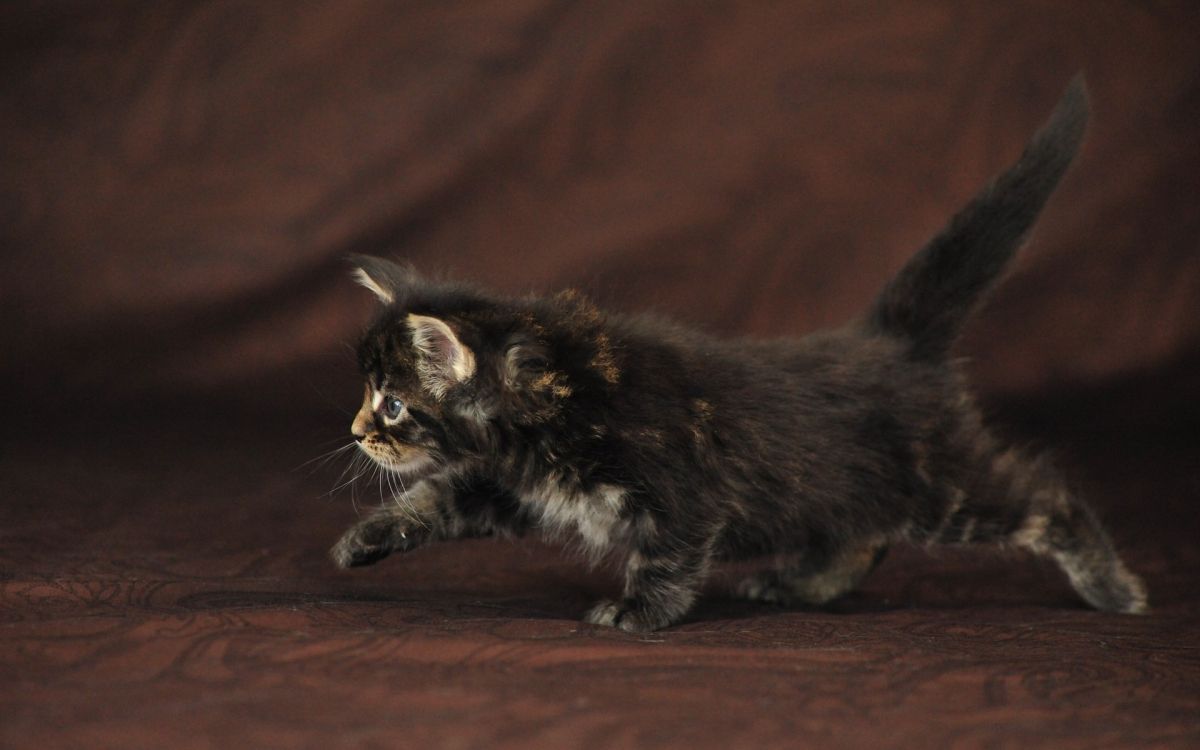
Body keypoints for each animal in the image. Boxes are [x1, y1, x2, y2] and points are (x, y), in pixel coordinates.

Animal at [326, 76, 1142, 628]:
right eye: (370, 398)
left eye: (391, 403)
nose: (356, 432)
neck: (562, 392)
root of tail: (889, 341)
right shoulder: (515, 485)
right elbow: (437, 497)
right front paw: (363, 539)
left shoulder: (685, 491)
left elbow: (670, 556)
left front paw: (637, 612)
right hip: (853, 487)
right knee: (863, 537)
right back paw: (800, 584)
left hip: (941, 483)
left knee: (1047, 499)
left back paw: (1113, 586)